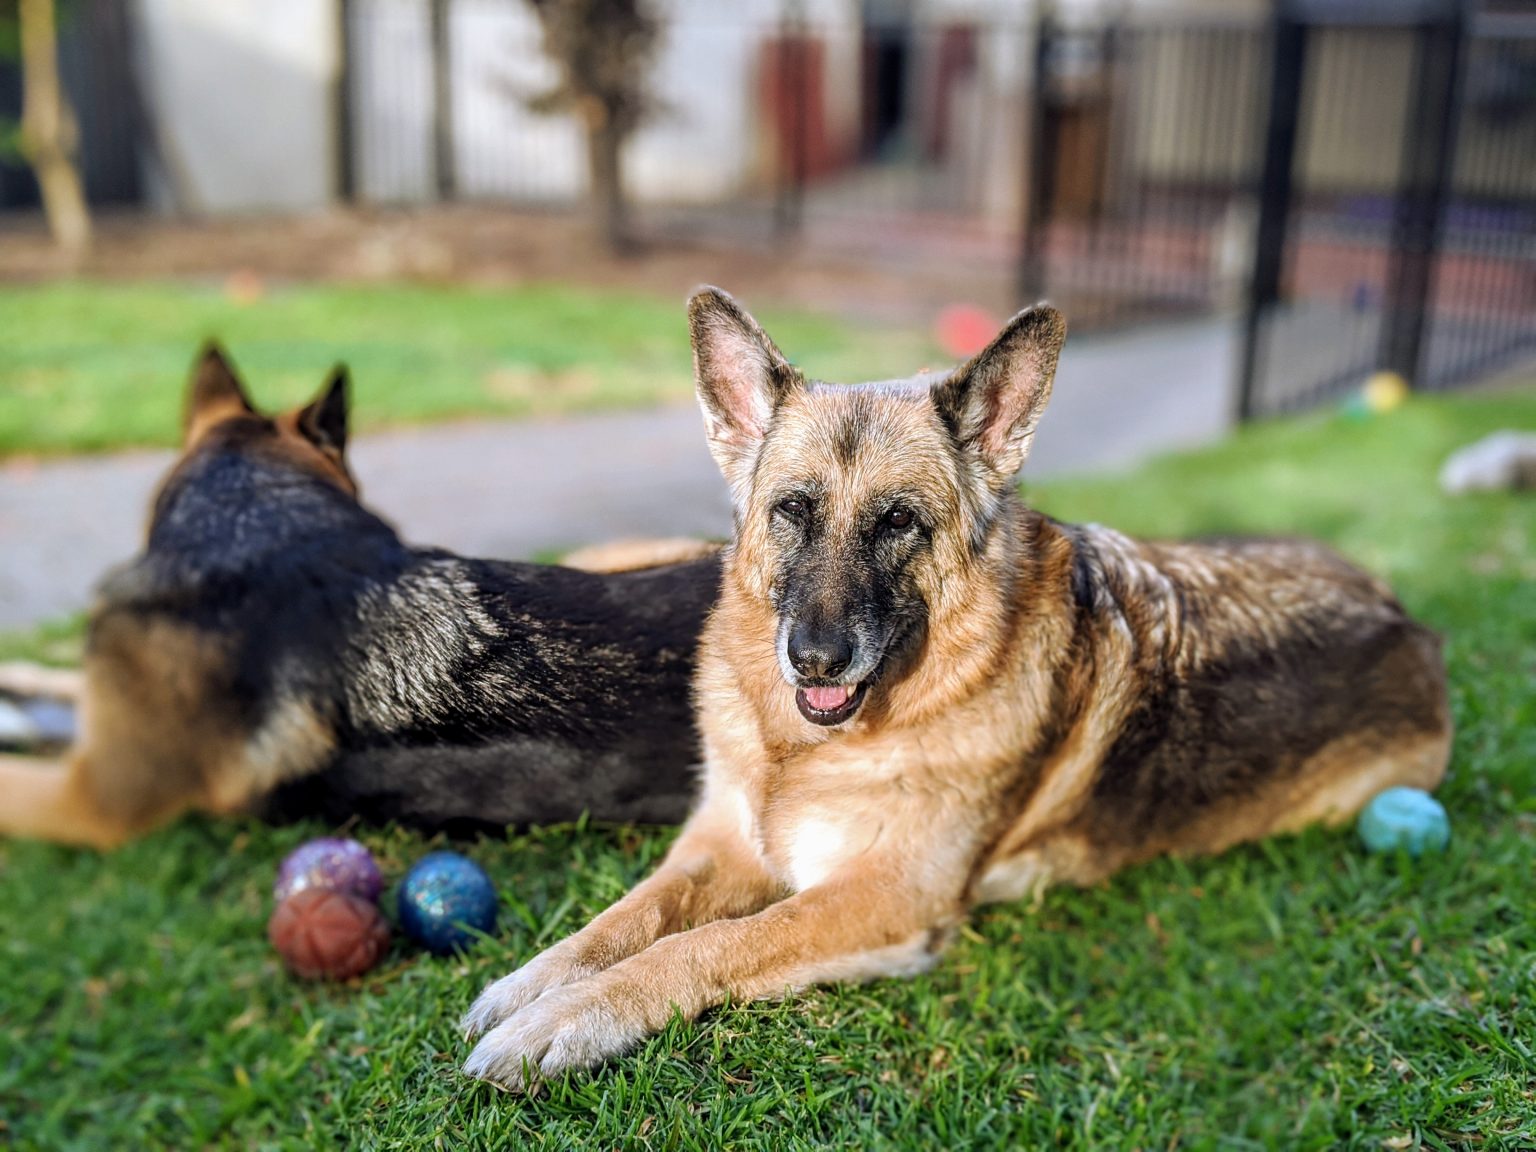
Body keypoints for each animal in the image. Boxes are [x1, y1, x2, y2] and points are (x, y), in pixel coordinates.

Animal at [457, 288, 1449, 1093]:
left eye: (899, 522)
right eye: (792, 511)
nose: (814, 661)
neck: (805, 752)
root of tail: (1409, 616)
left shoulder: (883, 898)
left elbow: (703, 942)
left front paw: (569, 1020)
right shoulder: (721, 844)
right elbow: (625, 917)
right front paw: (529, 985)